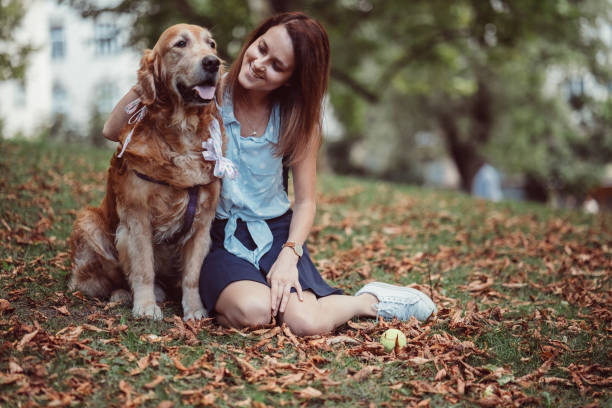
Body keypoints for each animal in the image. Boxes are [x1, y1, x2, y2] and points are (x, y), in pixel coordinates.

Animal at [69, 23, 226, 320]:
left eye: (211, 44)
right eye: (180, 44)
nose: (213, 62)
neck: (181, 138)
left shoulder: (202, 222)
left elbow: (193, 275)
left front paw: (194, 309)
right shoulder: (136, 216)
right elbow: (143, 267)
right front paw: (145, 306)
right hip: (89, 223)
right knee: (100, 281)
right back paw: (125, 294)